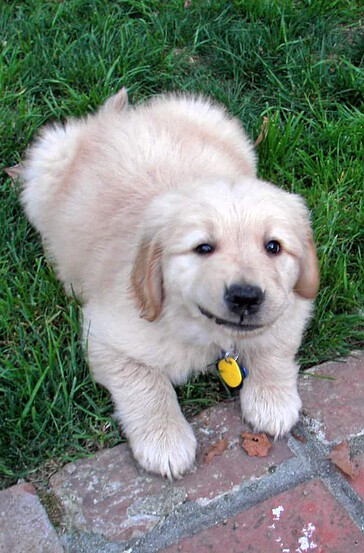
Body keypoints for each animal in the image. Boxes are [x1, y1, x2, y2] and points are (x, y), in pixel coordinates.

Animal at [19, 89, 318, 478]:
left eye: (274, 247)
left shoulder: (291, 304)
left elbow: (275, 345)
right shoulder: (105, 336)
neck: (208, 333)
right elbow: (146, 383)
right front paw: (165, 440)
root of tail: (114, 118)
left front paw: (272, 399)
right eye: (203, 248)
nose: (246, 297)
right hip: (46, 163)